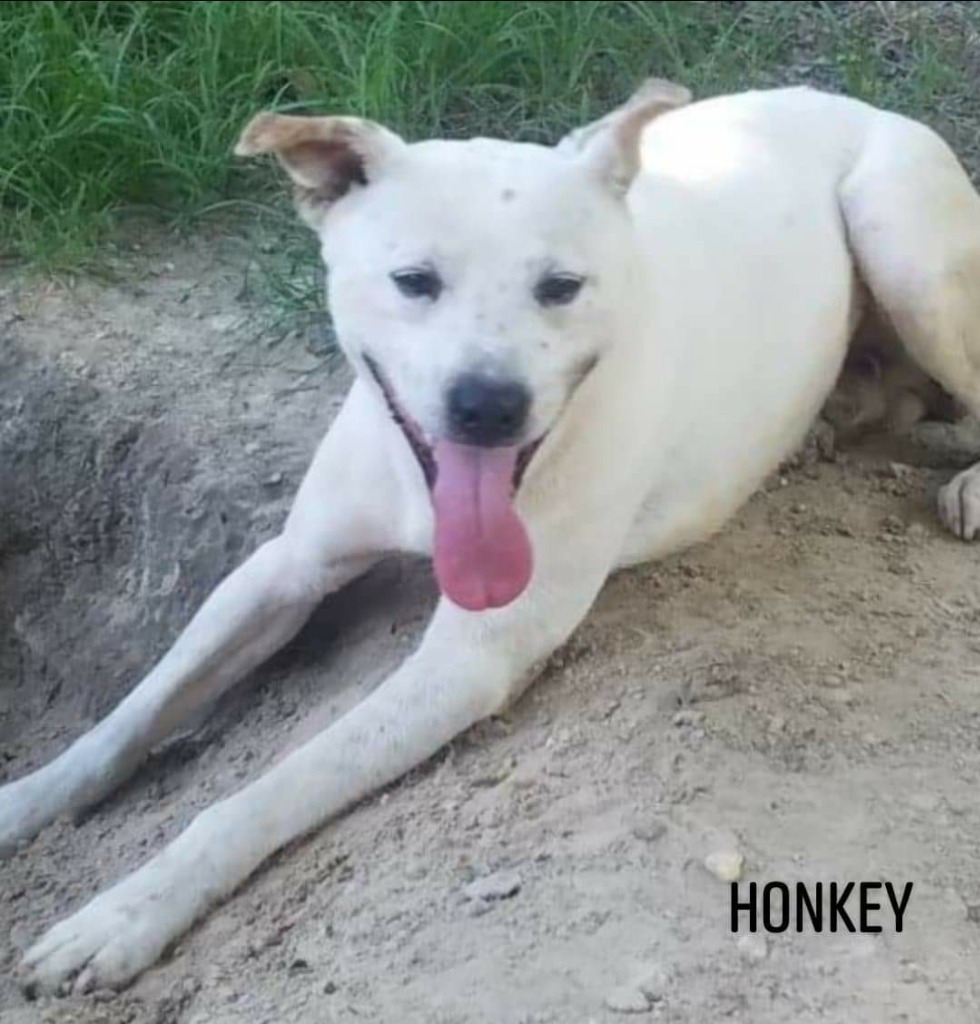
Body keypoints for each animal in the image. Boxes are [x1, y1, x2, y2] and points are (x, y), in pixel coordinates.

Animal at [5, 83, 978, 995]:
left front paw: (127, 911)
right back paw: (833, 416)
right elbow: (136, 711)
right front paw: (25, 802)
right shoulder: (286, 567)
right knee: (894, 398)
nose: (487, 403)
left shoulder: (469, 658)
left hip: (899, 236)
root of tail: (853, 101)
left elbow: (269, 790)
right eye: (412, 280)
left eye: (561, 286)